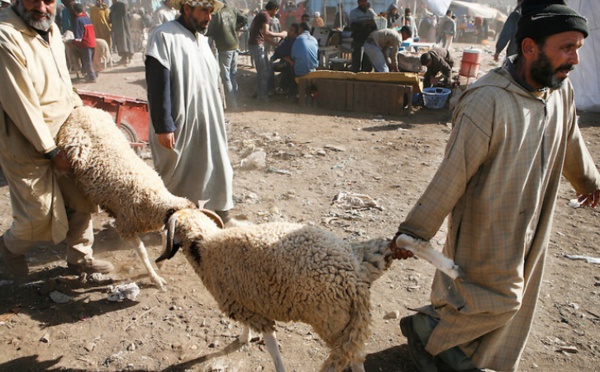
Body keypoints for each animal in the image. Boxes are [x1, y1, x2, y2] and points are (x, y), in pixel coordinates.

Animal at [56, 106, 195, 290]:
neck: (153, 196)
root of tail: (84, 108)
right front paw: (155, 278)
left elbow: (164, 234)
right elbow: (143, 253)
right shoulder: (126, 226)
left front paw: (161, 263)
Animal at [157, 209, 396, 372]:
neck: (205, 245)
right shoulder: (245, 301)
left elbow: (272, 348)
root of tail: (355, 278)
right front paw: (244, 337)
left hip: (335, 323)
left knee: (354, 358)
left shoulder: (250, 310)